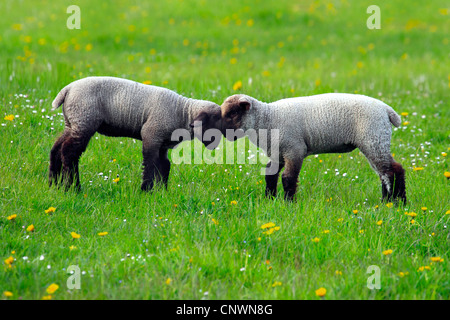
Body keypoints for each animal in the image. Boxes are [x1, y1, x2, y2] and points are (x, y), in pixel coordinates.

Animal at [50, 76, 222, 191]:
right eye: (214, 122)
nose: (216, 145)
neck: (182, 111)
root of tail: (67, 90)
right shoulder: (151, 134)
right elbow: (151, 163)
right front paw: (146, 190)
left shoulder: (162, 142)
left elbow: (164, 165)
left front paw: (162, 191)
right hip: (83, 120)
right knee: (69, 152)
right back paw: (73, 187)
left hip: (72, 123)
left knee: (56, 149)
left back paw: (53, 183)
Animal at [220, 93, 406, 202]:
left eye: (233, 113)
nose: (222, 133)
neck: (267, 118)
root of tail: (387, 110)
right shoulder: (278, 153)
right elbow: (270, 175)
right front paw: (270, 199)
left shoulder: (294, 149)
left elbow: (288, 178)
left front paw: (289, 203)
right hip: (374, 140)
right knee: (384, 173)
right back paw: (387, 201)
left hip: (373, 138)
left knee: (392, 170)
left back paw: (397, 203)